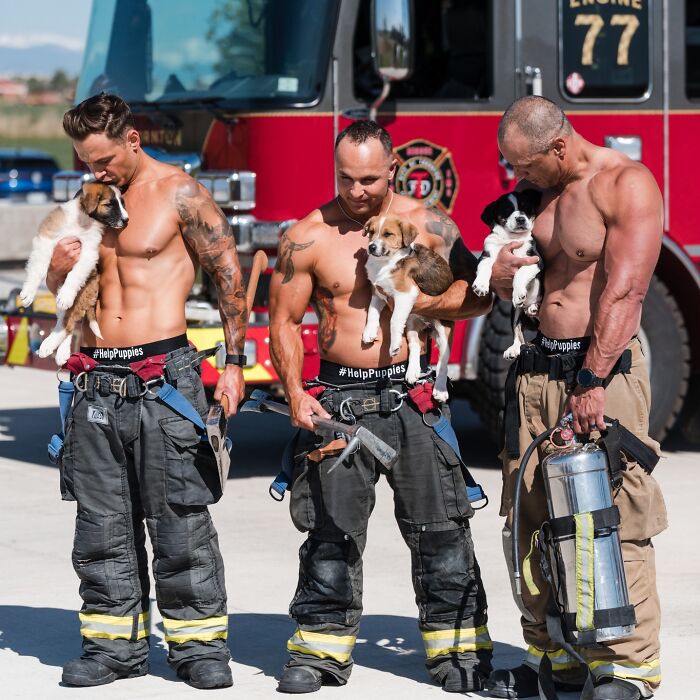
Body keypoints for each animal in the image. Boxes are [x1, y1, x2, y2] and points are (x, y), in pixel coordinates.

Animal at [20, 180, 130, 366]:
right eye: (109, 204)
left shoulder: (88, 252)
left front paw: (66, 295)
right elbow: (39, 269)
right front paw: (28, 292)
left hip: (82, 293)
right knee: (66, 320)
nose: (127, 220)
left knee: (68, 323)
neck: (83, 221)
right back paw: (61, 352)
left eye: (122, 203)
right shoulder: (47, 238)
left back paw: (48, 346)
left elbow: (75, 275)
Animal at [360, 213, 454, 402]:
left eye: (388, 234)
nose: (371, 247)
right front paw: (369, 332)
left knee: (443, 362)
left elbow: (394, 320)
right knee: (416, 344)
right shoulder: (378, 293)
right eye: (371, 232)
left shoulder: (405, 294)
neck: (385, 262)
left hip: (443, 330)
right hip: (411, 322)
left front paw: (394, 345)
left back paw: (440, 390)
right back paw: (412, 371)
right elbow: (372, 313)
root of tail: (427, 323)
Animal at [474, 189, 544, 358]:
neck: (510, 238)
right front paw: (480, 286)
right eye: (507, 210)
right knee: (517, 330)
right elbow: (484, 268)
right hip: (515, 311)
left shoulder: (534, 261)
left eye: (526, 207)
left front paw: (518, 293)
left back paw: (534, 307)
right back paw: (514, 348)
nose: (520, 219)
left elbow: (520, 273)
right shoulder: (487, 255)